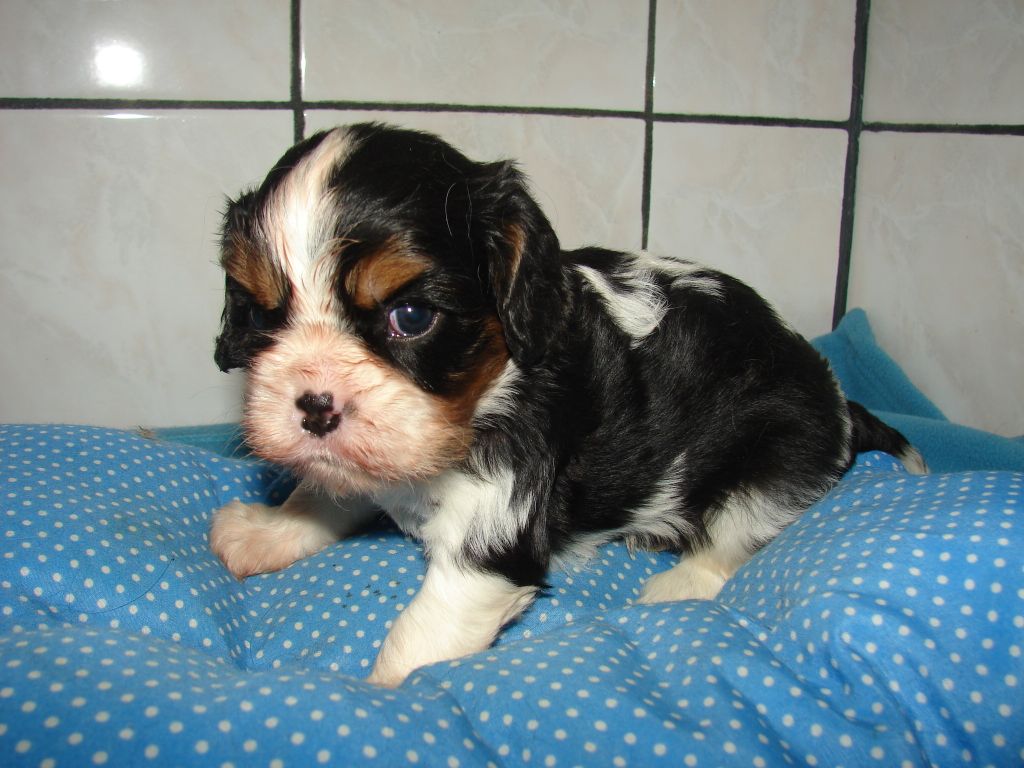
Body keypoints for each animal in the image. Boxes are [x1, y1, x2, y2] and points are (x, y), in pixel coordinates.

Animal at [209, 123, 929, 688]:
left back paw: (676, 585)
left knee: (735, 536)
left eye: (410, 316)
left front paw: (383, 698)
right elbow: (326, 490)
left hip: (777, 447)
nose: (315, 406)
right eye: (260, 315)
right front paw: (266, 530)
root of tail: (838, 399)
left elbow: (424, 630)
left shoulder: (498, 519)